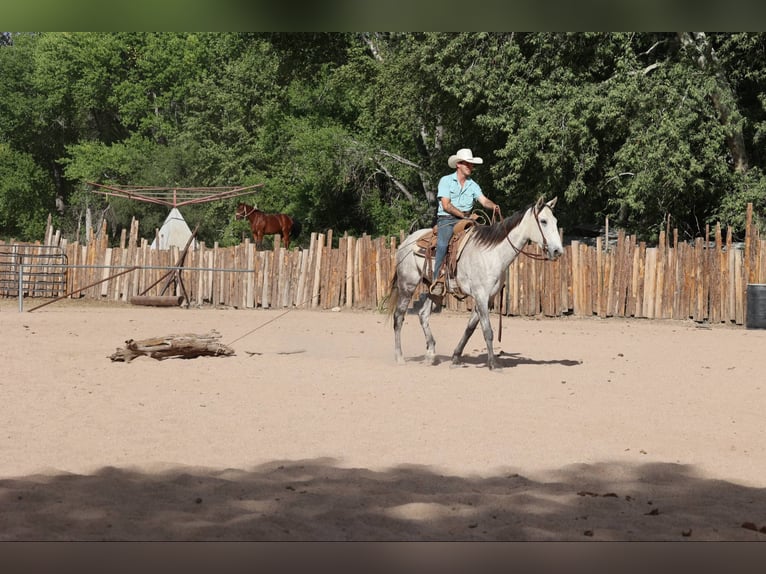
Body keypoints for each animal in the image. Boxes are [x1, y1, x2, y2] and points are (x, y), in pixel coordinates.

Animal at [387, 197, 563, 371]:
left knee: (423, 315)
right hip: (407, 285)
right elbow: (488, 331)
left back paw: (430, 354)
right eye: (543, 221)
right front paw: (493, 364)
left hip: (434, 290)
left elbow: (470, 328)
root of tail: (405, 242)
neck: (493, 255)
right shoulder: (480, 295)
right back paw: (399, 357)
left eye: (555, 220)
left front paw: (456, 357)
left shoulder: (488, 298)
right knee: (399, 316)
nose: (557, 251)